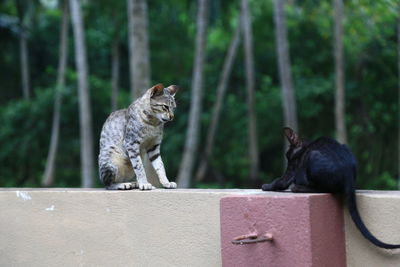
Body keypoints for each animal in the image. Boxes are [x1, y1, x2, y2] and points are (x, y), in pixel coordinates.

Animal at [262, 129, 400, 250]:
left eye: (288, 154)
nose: (286, 156)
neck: (306, 146)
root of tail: (348, 173)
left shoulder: (292, 169)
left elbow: (280, 181)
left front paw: (267, 186)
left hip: (313, 156)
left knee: (325, 189)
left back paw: (298, 187)